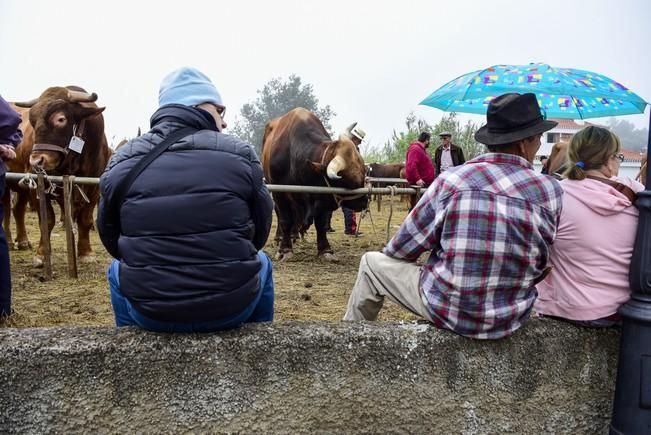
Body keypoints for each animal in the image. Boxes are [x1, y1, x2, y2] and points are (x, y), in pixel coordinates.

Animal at [14, 86, 111, 266]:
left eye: (60, 119)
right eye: (32, 120)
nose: (36, 160)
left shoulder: (94, 187)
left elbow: (84, 219)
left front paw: (86, 252)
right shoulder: (37, 185)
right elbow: (47, 220)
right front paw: (42, 253)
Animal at [262, 107, 370, 260]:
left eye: (363, 172)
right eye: (349, 181)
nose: (364, 202)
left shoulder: (323, 196)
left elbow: (321, 223)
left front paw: (325, 250)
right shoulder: (280, 192)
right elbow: (285, 220)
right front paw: (285, 250)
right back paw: (280, 237)